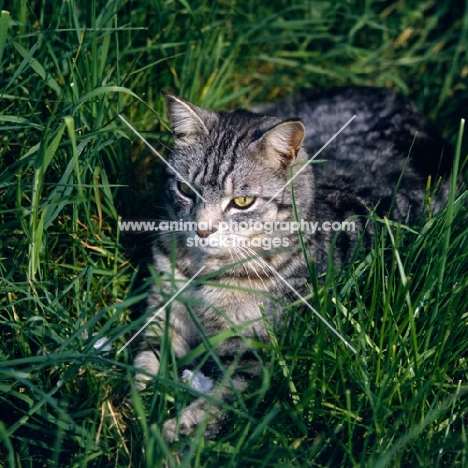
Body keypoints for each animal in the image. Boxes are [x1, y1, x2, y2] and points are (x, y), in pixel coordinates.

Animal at [132, 87, 450, 442]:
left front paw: (178, 428)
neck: (206, 268)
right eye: (185, 189)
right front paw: (137, 401)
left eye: (242, 202)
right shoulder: (163, 313)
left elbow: (223, 398)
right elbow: (146, 359)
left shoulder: (257, 355)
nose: (202, 230)